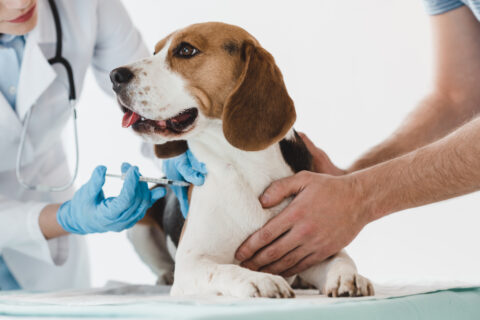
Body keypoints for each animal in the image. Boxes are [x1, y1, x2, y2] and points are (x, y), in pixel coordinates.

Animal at [110, 21, 374, 298]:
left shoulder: (313, 242)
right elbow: (225, 270)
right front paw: (261, 279)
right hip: (138, 224)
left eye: (186, 50)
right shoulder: (193, 263)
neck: (242, 167)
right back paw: (165, 275)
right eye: (154, 52)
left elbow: (340, 258)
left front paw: (348, 277)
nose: (115, 75)